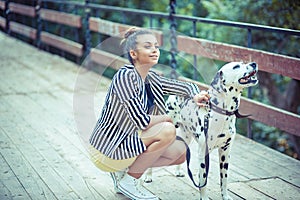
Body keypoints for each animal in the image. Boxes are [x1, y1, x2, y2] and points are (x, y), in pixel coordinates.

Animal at [144, 61, 256, 199]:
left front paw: (225, 196)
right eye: (236, 66)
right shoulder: (203, 153)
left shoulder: (225, 152)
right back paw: (148, 176)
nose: (254, 63)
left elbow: (224, 178)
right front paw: (204, 197)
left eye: (243, 63)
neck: (222, 113)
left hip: (185, 137)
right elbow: (203, 180)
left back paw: (178, 171)